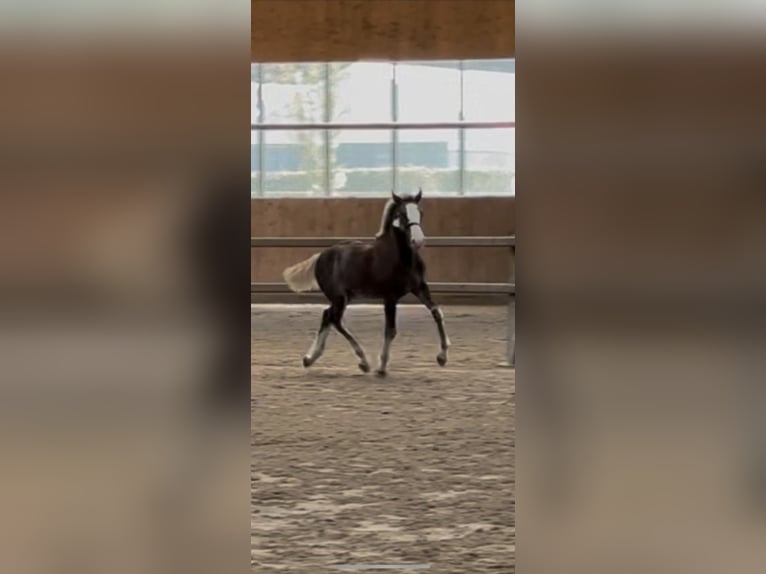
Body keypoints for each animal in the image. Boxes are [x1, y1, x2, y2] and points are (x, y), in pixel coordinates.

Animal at [282, 188, 450, 376]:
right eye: (402, 214)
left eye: (420, 212)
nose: (418, 241)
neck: (402, 259)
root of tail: (320, 256)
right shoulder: (390, 297)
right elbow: (390, 330)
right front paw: (382, 367)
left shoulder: (420, 288)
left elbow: (437, 313)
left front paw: (442, 357)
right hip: (339, 297)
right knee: (335, 319)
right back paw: (363, 362)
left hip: (344, 297)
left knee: (327, 315)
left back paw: (310, 359)